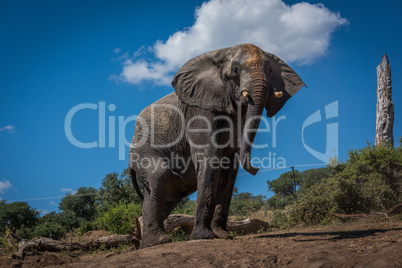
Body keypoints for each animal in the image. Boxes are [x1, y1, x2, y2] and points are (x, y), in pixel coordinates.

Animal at [129, 43, 304, 247]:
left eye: (270, 71)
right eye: (235, 71)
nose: (256, 169)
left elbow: (229, 166)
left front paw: (223, 235)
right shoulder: (200, 111)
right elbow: (210, 157)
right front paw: (205, 237)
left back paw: (147, 244)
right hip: (143, 150)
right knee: (160, 177)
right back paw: (160, 241)